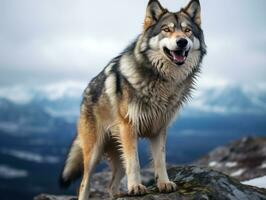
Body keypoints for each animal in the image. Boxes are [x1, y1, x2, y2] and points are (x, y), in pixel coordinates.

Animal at [59, 0, 206, 199]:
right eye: (167, 30)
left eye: (187, 30)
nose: (181, 41)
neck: (161, 80)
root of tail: (85, 93)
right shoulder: (129, 128)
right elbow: (135, 163)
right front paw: (136, 187)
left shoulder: (159, 129)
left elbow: (160, 160)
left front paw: (164, 183)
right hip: (95, 152)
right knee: (83, 185)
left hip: (118, 155)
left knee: (111, 186)